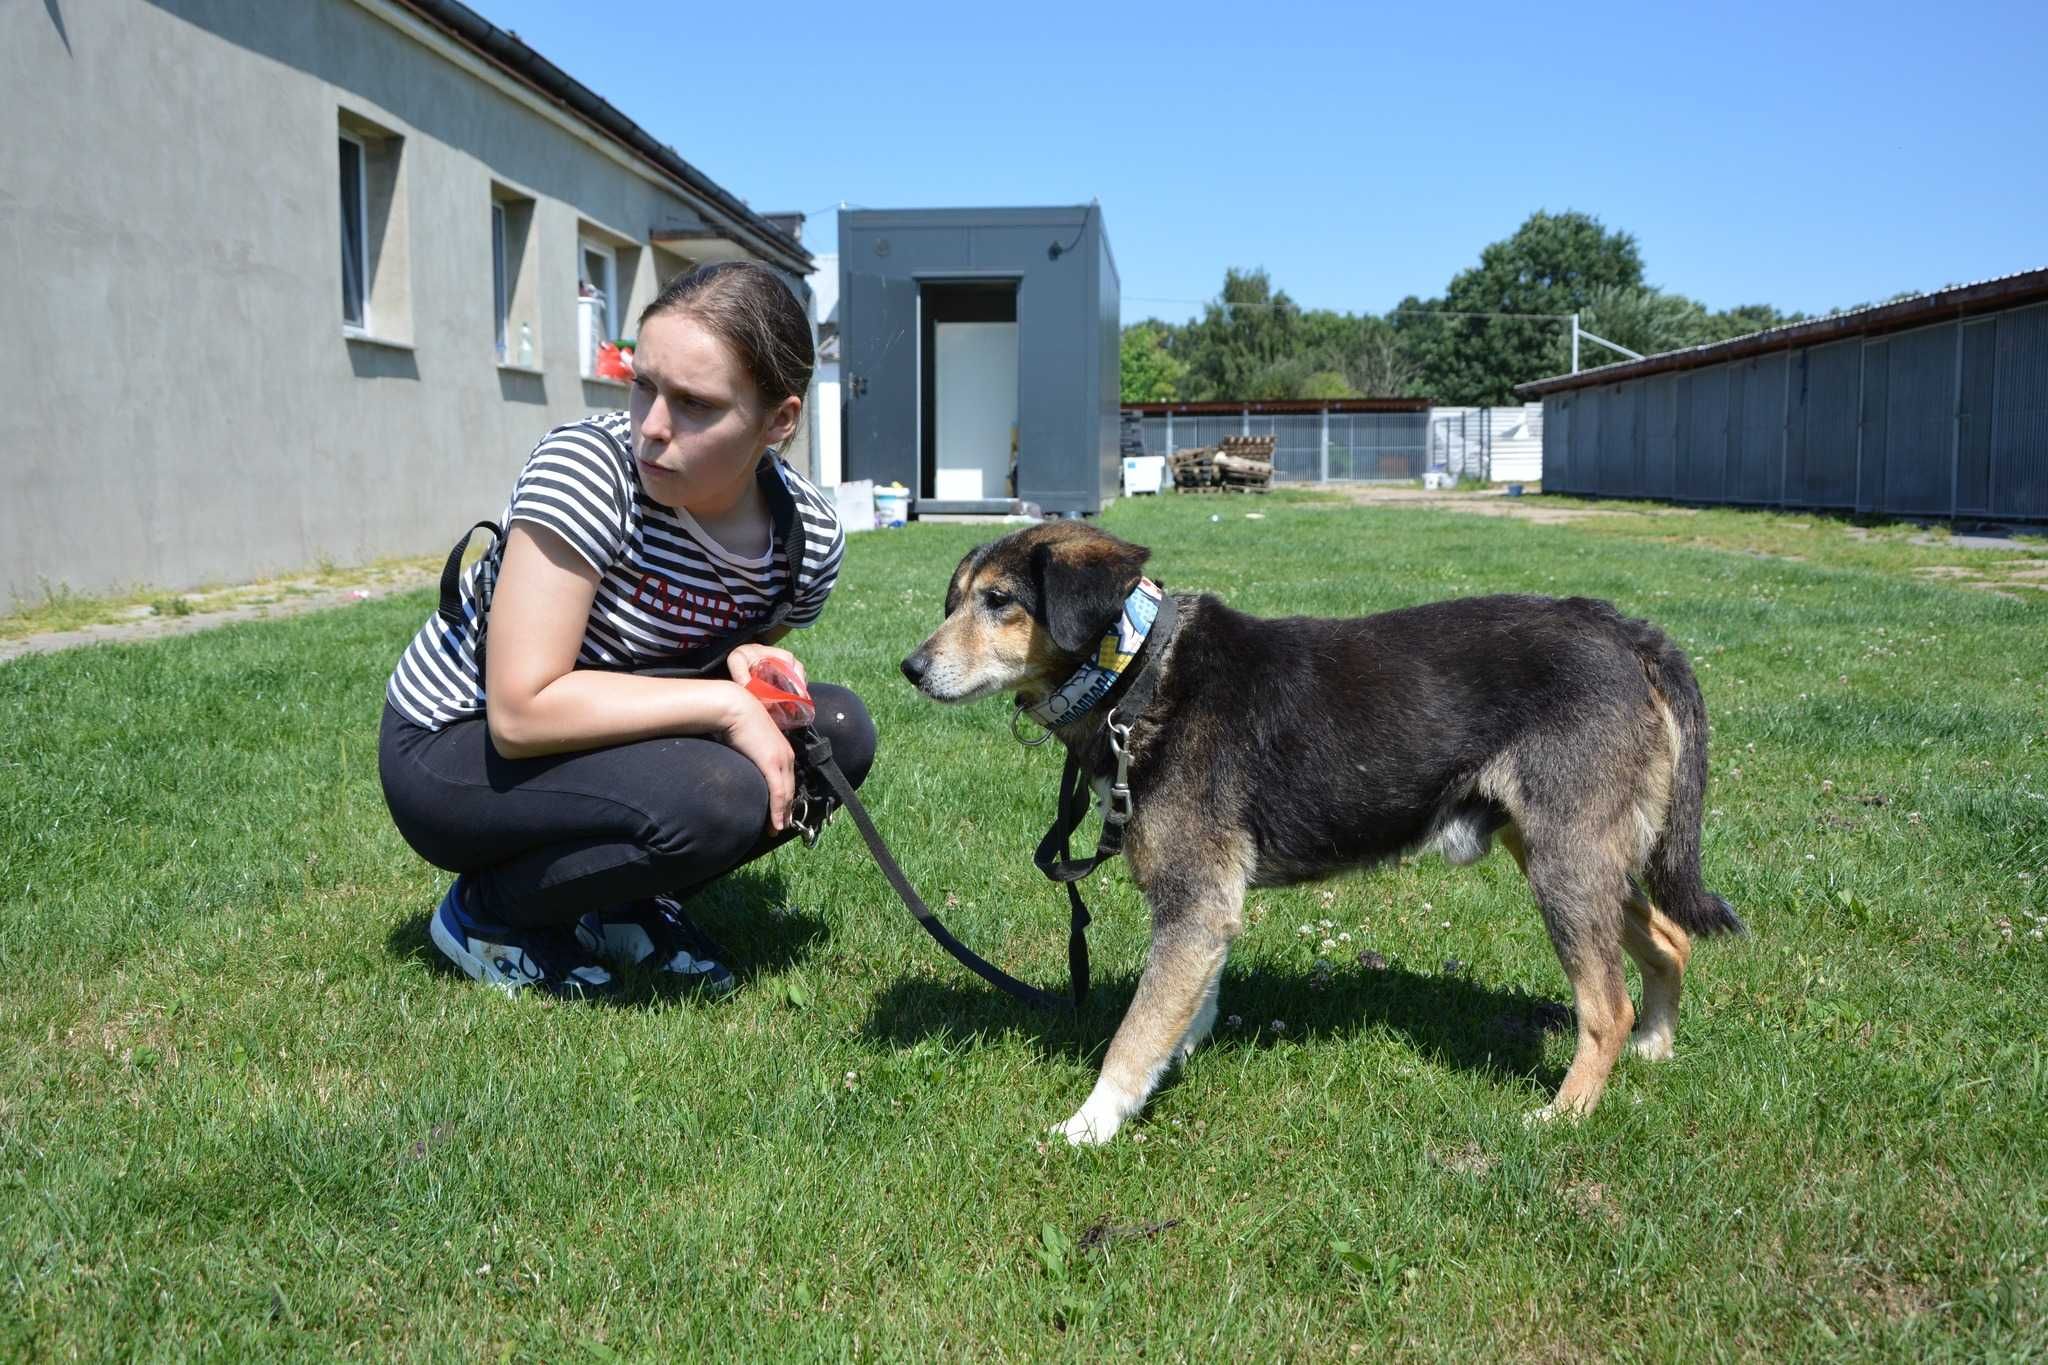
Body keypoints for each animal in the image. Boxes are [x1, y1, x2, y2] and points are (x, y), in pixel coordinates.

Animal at [901, 519, 1744, 1146]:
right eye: (956, 599)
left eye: (999, 600)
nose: (909, 667)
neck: (1137, 668)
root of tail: (1626, 628)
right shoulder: (1208, 910)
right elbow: (1187, 1003)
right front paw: (1180, 1056)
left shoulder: (1193, 900)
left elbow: (1133, 1032)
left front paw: (1090, 1124)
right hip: (1565, 849)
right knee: (1671, 939)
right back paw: (1655, 1046)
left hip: (1565, 862)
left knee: (1605, 1006)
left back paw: (1565, 1112)